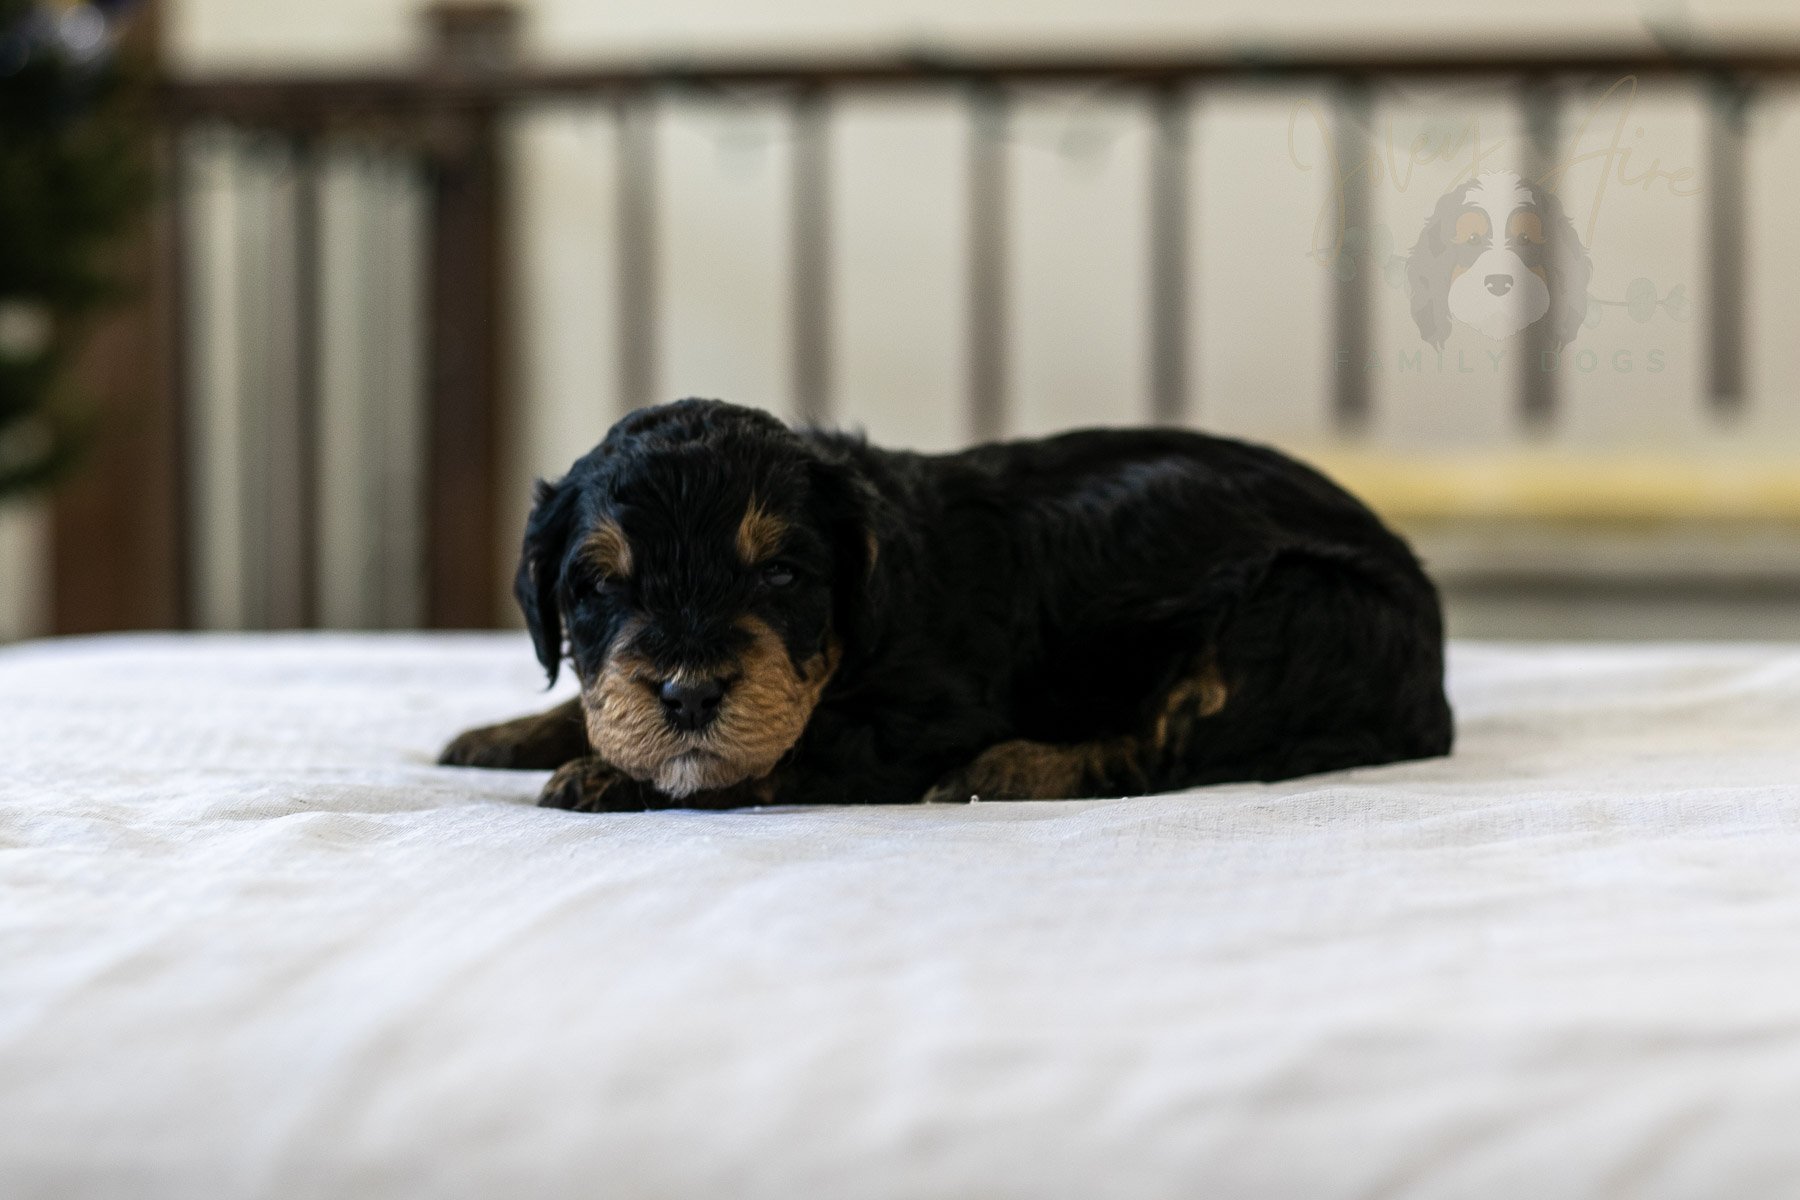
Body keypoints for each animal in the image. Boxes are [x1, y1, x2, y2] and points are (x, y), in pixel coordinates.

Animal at [440, 399, 1453, 811]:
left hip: (1293, 614)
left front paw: (605, 778)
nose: (688, 695)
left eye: (782, 578)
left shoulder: (923, 712)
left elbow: (792, 753)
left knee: (1167, 750)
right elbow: (594, 700)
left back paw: (1008, 770)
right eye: (598, 587)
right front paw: (505, 735)